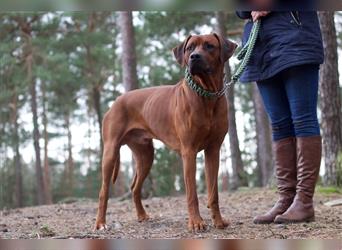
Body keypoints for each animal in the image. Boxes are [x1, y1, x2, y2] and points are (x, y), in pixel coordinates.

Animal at [95, 33, 236, 232]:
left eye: (209, 46)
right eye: (189, 48)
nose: (194, 57)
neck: (207, 94)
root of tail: (116, 101)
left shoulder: (213, 150)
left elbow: (213, 193)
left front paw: (218, 221)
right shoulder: (189, 152)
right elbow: (192, 194)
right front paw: (196, 222)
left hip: (145, 154)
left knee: (135, 187)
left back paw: (142, 215)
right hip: (110, 152)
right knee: (103, 191)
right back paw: (100, 223)